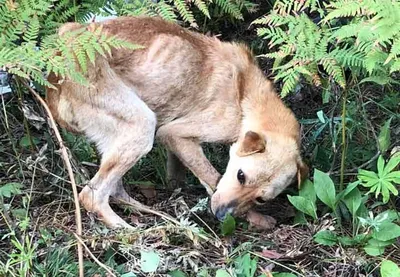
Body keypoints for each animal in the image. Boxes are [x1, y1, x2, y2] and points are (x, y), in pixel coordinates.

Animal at [47, 16, 308, 227]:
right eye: (240, 176)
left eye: (261, 198)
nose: (222, 215)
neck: (247, 95)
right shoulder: (174, 132)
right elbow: (212, 177)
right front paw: (254, 219)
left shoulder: (177, 145)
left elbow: (178, 174)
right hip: (142, 126)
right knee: (91, 196)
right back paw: (127, 230)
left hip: (121, 140)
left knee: (114, 189)